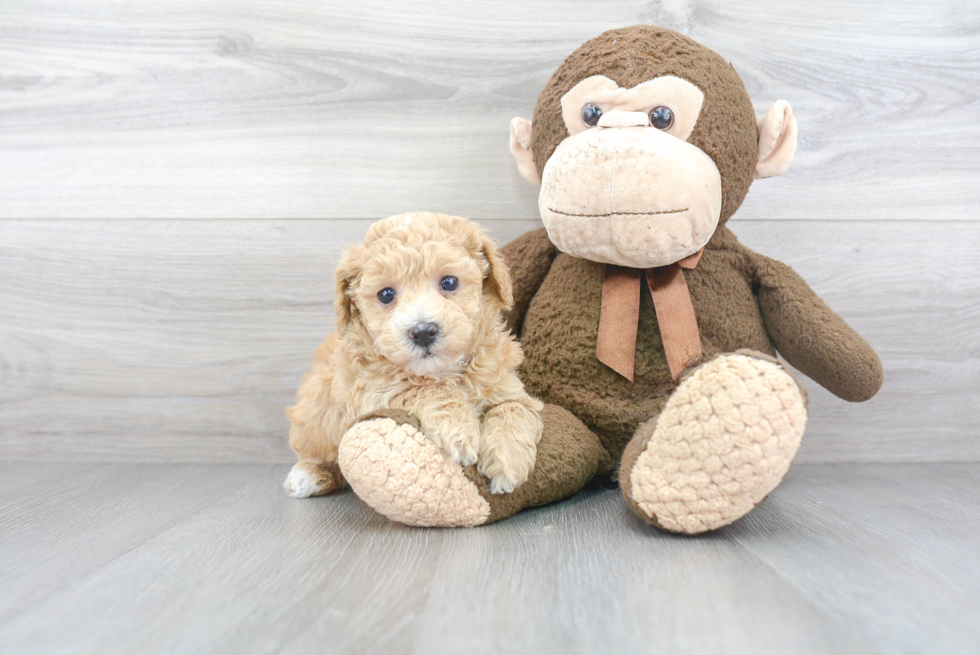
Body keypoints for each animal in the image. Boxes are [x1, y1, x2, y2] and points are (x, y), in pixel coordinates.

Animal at [284, 214, 544, 498]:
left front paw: (507, 461)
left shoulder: (506, 386)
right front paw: (459, 430)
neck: (442, 370)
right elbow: (424, 389)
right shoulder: (372, 391)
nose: (423, 332)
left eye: (449, 282)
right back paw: (308, 475)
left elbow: (513, 408)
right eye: (386, 294)